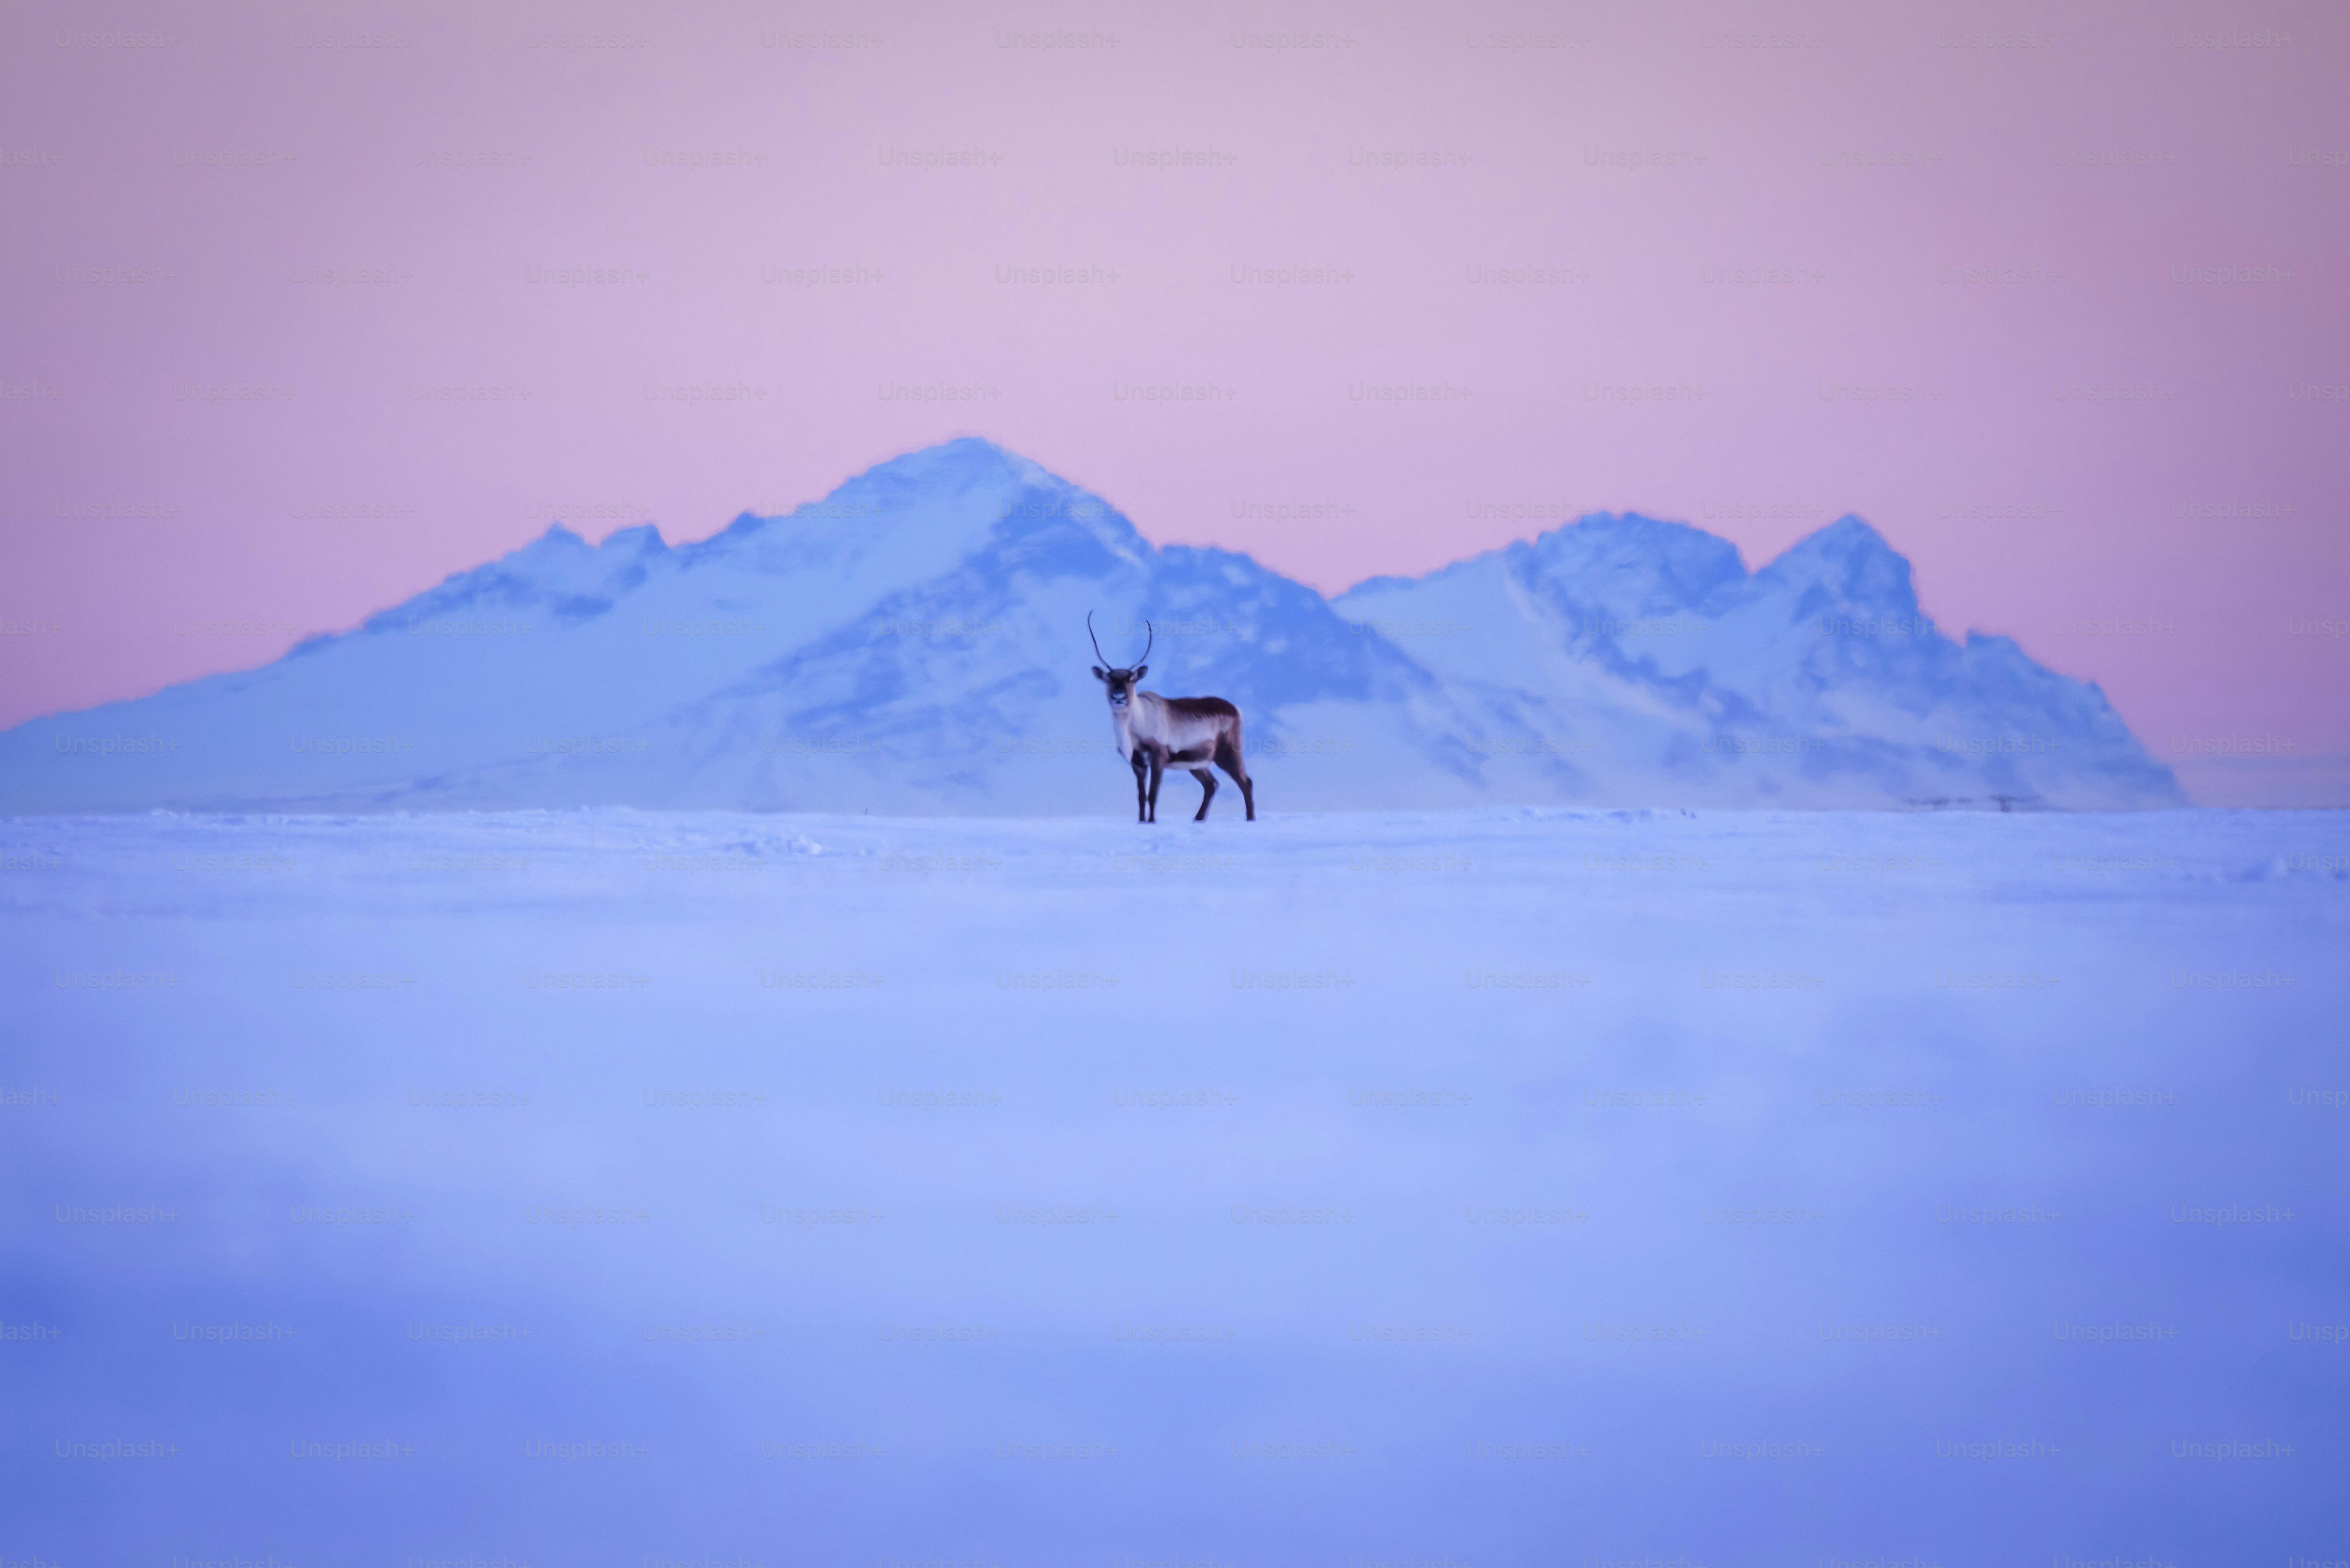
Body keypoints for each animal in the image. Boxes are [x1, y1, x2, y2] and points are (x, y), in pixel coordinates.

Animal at [1089, 611, 1255, 823]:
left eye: (1132, 680)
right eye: (1109, 679)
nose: (1119, 697)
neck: (1133, 731)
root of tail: (1236, 708)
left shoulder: (1159, 758)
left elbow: (1153, 795)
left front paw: (1152, 822)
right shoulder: (1137, 763)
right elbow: (1141, 796)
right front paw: (1141, 822)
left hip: (1228, 753)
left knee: (1245, 781)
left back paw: (1250, 819)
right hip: (1197, 763)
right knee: (1212, 784)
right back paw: (1198, 819)